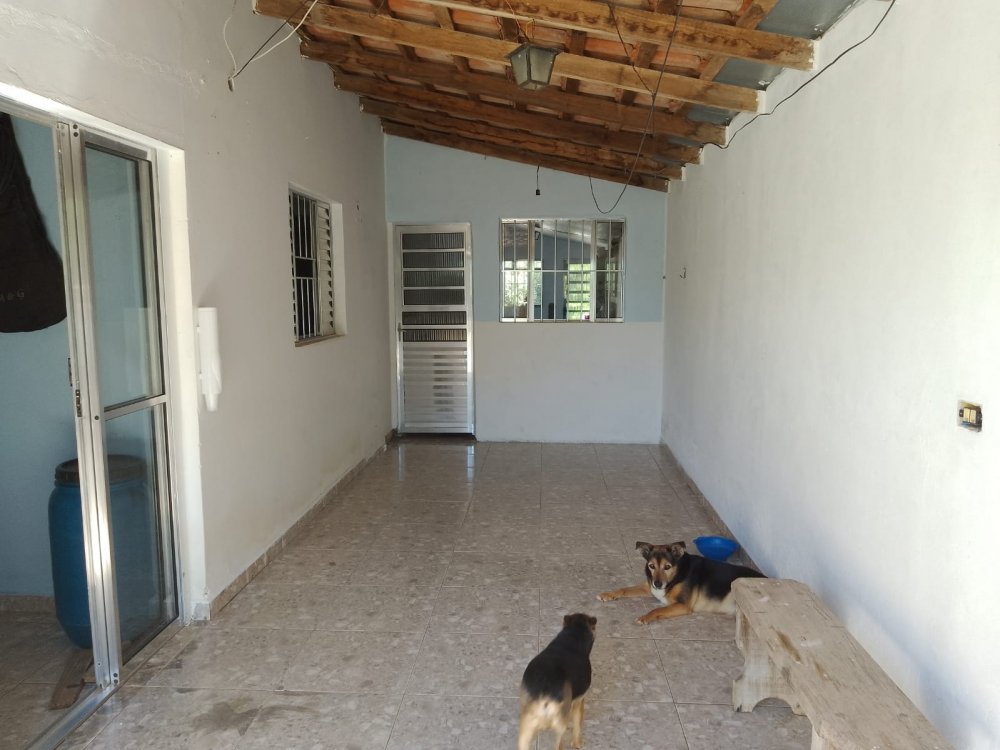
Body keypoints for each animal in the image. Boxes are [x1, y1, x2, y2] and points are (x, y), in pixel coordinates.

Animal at [518, 613, 597, 750]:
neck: (572, 637)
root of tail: (544, 697)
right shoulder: (579, 701)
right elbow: (577, 724)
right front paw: (578, 743)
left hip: (526, 729)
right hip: (558, 728)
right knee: (558, 743)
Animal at [598, 541, 765, 624]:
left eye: (667, 567)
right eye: (651, 566)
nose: (658, 584)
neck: (676, 575)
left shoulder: (683, 605)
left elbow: (657, 610)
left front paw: (645, 617)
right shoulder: (648, 587)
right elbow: (624, 589)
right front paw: (608, 594)